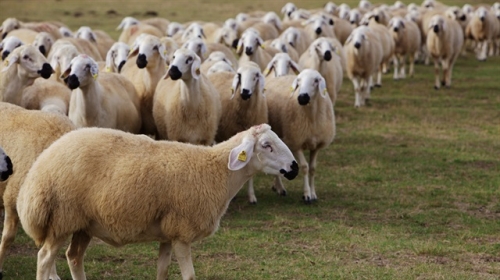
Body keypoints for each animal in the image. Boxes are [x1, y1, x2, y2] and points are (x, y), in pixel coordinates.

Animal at [16, 123, 296, 280]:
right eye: (267, 145)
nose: (293, 168)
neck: (216, 172)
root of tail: (38, 168)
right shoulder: (182, 233)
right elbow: (190, 276)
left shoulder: (168, 234)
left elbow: (162, 272)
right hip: (61, 218)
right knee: (44, 259)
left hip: (84, 224)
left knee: (73, 257)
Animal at [266, 68, 336, 202]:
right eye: (298, 81)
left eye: (316, 80)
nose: (302, 97)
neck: (312, 117)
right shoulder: (296, 142)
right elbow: (304, 167)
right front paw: (307, 195)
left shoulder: (316, 146)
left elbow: (313, 168)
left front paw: (313, 194)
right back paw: (280, 188)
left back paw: (276, 186)